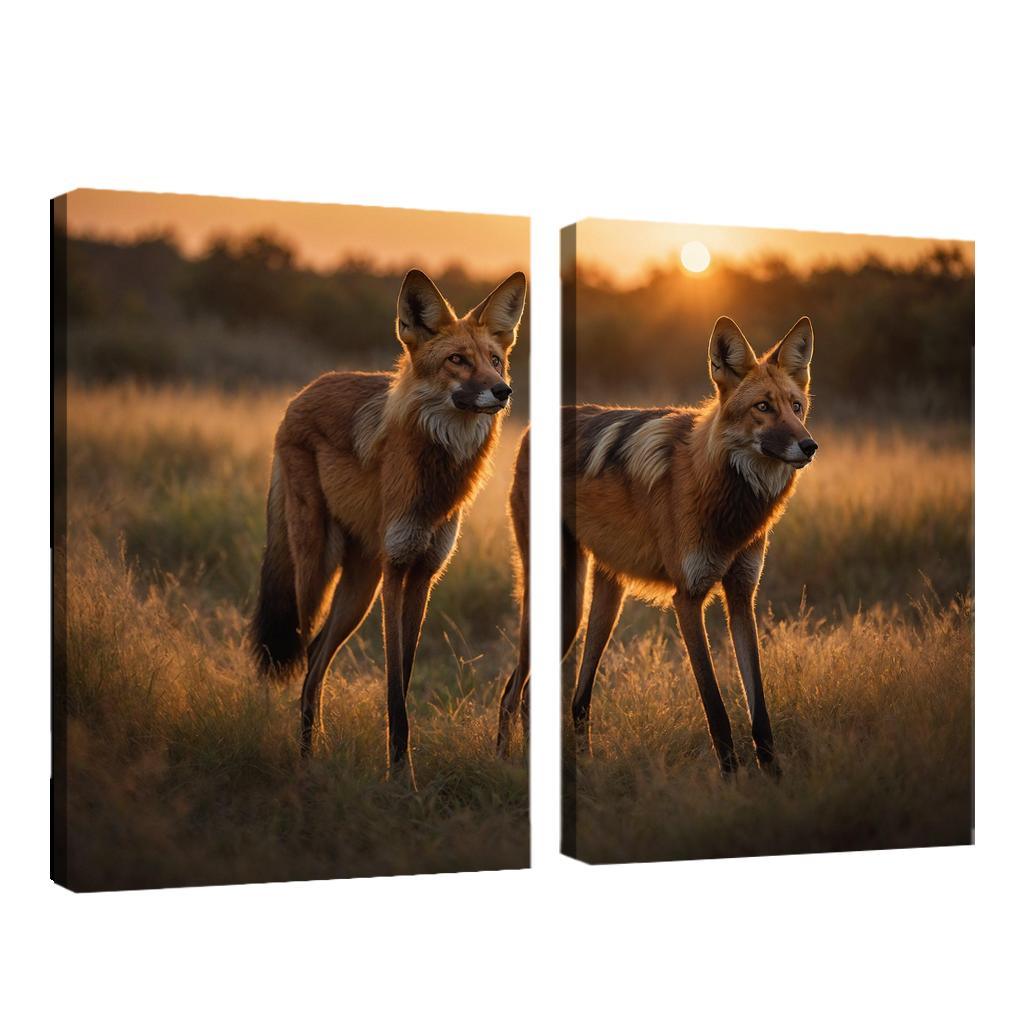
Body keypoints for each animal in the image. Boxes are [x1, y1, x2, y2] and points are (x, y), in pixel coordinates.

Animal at [251, 268, 527, 781]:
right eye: (457, 360)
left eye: (495, 361)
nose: (503, 391)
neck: (434, 487)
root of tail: (303, 392)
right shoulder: (398, 570)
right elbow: (394, 692)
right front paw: (401, 778)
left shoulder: (422, 574)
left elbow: (407, 673)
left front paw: (400, 772)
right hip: (317, 569)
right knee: (301, 652)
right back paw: (296, 757)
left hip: (360, 587)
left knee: (316, 656)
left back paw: (311, 755)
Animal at [498, 315, 816, 774]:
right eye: (763, 407)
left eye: (796, 407)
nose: (810, 446)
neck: (726, 506)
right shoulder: (688, 598)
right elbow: (716, 710)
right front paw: (731, 780)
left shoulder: (741, 596)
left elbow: (760, 711)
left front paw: (773, 779)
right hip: (566, 608)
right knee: (512, 693)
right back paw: (507, 762)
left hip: (603, 604)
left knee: (576, 699)